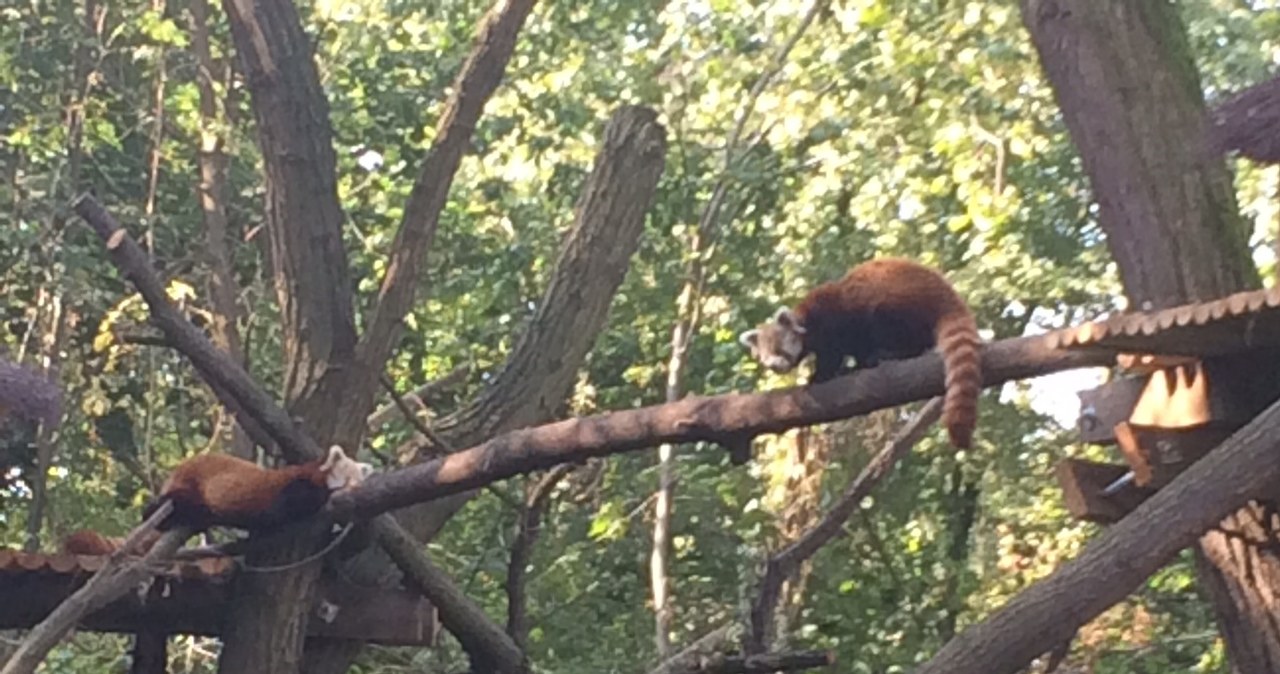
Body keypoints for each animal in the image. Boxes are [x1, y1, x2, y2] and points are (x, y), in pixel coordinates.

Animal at [146, 445, 373, 534]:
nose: (358, 487)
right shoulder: (293, 487)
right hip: (189, 485)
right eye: (349, 479)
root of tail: (179, 468)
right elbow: (294, 505)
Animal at [737, 255, 983, 450]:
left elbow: (834, 353)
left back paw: (889, 354)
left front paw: (819, 376)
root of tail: (947, 295)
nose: (774, 365)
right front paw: (851, 367)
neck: (806, 320)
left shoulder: (835, 321)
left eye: (780, 350)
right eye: (764, 358)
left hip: (898, 304)